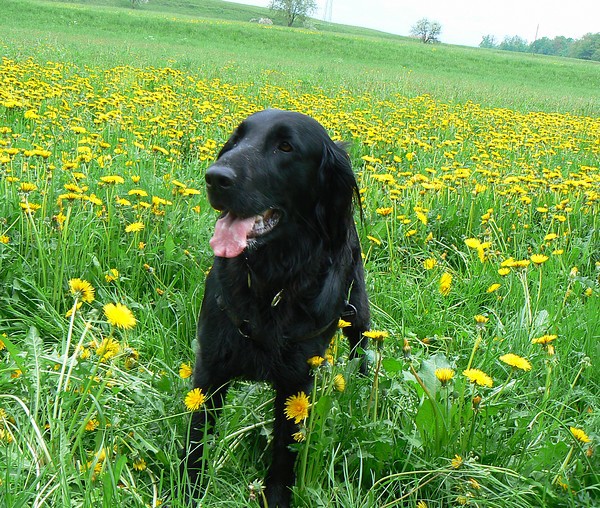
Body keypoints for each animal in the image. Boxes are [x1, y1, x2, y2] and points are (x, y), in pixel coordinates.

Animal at [184, 109, 370, 506]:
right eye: (236, 140)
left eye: (285, 147)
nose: (215, 177)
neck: (270, 284)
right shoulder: (211, 366)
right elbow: (196, 440)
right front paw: (187, 491)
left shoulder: (297, 382)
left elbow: (285, 453)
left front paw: (276, 498)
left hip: (358, 316)